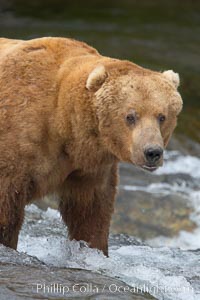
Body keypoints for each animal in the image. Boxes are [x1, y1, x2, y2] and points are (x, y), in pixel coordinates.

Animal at [0, 35, 182, 255]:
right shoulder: (19, 141)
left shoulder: (89, 166)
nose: (152, 152)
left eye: (162, 116)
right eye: (130, 116)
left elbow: (91, 213)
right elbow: (7, 210)